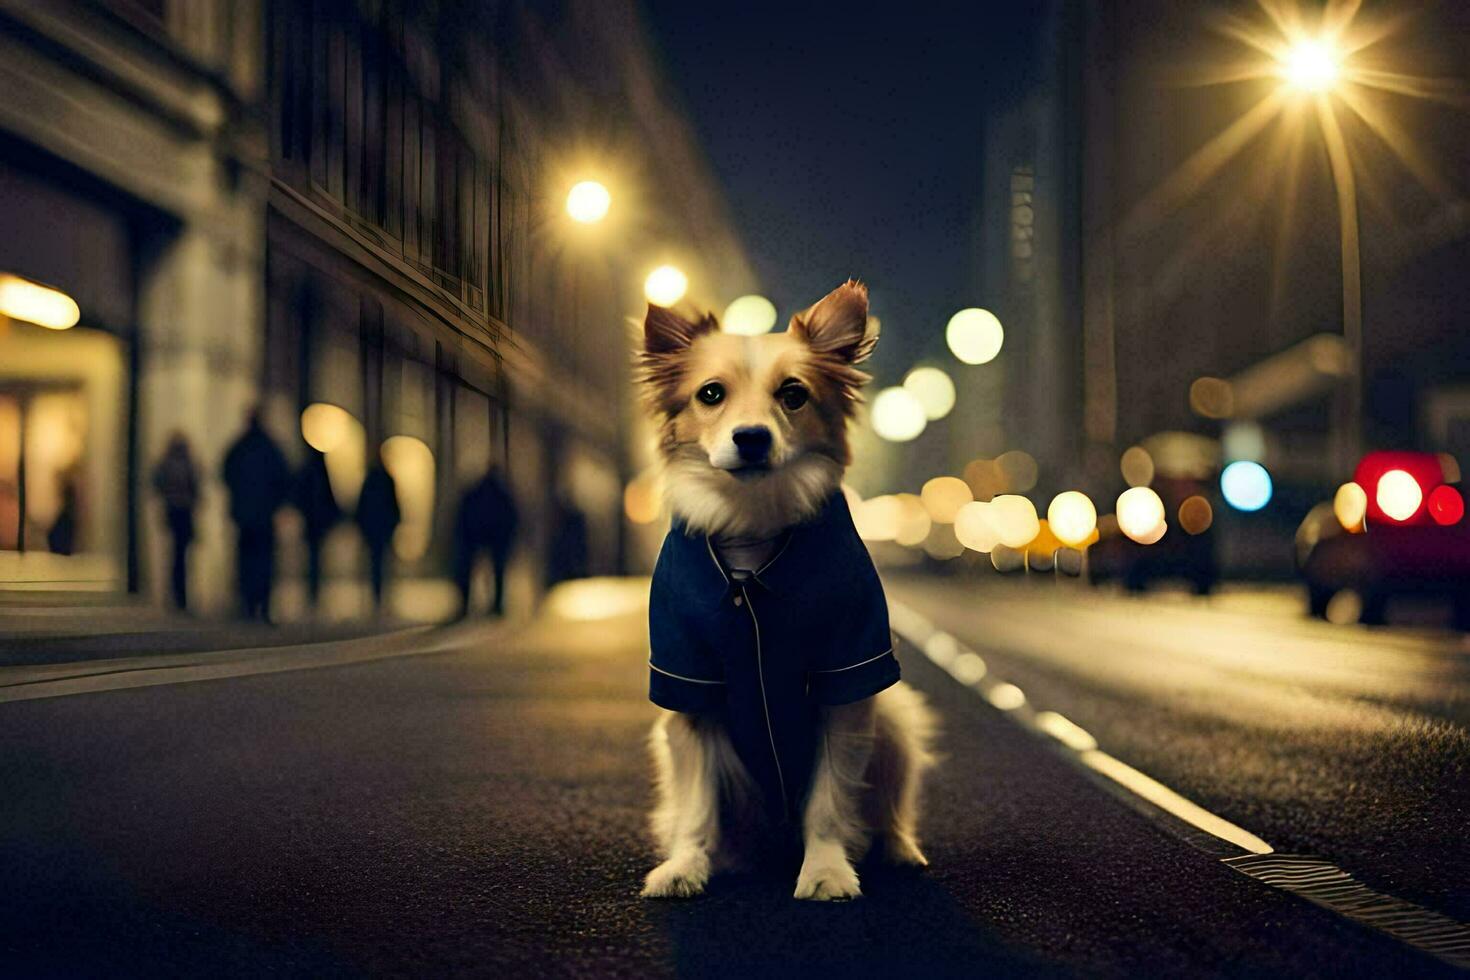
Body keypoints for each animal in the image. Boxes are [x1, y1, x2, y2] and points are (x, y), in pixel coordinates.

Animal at [637, 279, 934, 899]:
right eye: (710, 394)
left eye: (793, 395)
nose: (751, 438)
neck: (752, 528)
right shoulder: (689, 688)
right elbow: (697, 804)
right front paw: (685, 866)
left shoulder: (846, 678)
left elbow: (828, 801)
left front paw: (825, 871)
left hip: (895, 718)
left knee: (891, 806)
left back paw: (898, 849)